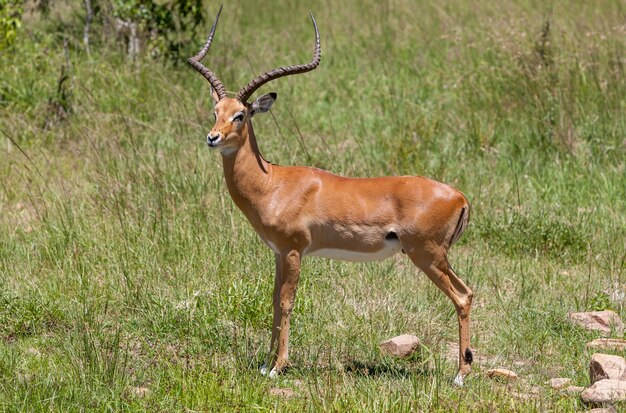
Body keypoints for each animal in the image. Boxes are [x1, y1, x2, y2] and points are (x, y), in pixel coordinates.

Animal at [188, 5, 470, 386]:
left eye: (241, 115)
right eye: (215, 112)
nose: (212, 137)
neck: (273, 183)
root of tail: (459, 196)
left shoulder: (294, 251)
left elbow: (287, 302)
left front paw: (278, 367)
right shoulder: (278, 253)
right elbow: (273, 301)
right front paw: (264, 364)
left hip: (427, 255)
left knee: (462, 296)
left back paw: (460, 376)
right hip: (436, 257)